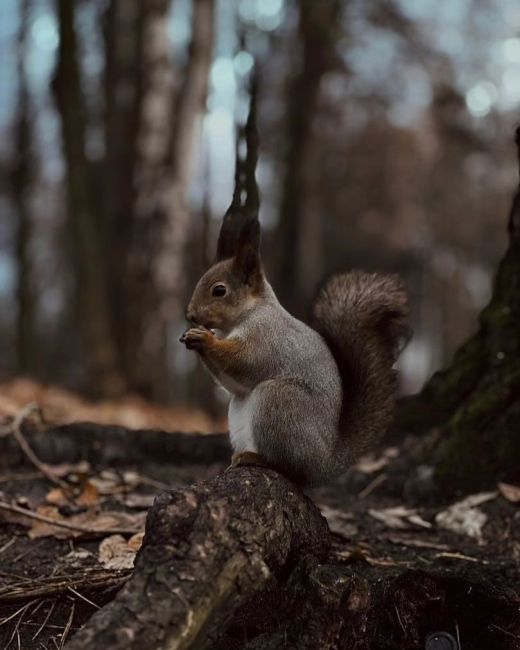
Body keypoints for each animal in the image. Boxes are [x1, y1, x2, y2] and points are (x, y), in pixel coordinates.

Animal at [181, 90, 408, 486]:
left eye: (219, 290)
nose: (190, 314)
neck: (251, 312)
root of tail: (325, 461)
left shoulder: (267, 336)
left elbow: (247, 361)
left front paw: (204, 339)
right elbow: (232, 382)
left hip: (280, 401)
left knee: (291, 470)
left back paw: (258, 459)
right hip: (242, 411)